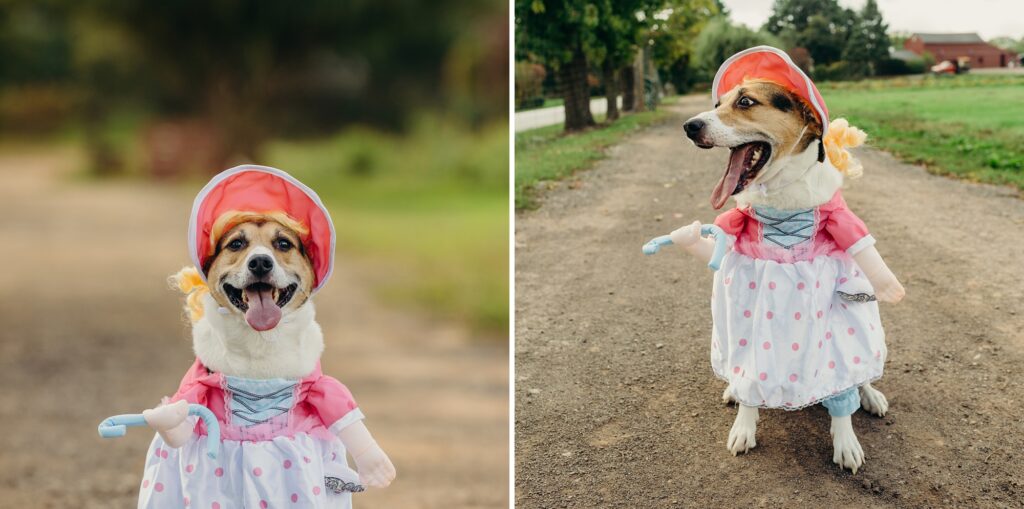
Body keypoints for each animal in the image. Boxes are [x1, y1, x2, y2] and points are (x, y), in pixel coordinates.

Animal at [130, 165, 393, 503]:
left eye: (283, 244)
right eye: (235, 244)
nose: (259, 262)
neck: (260, 342)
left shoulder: (316, 384)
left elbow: (338, 404)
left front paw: (377, 466)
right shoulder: (200, 380)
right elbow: (185, 410)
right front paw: (165, 419)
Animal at [655, 46, 905, 473]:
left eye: (745, 102)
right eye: (717, 105)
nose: (689, 126)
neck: (780, 194)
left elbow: (840, 391)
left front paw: (846, 441)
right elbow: (749, 378)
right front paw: (744, 423)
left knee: (861, 374)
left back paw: (870, 394)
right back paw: (733, 391)